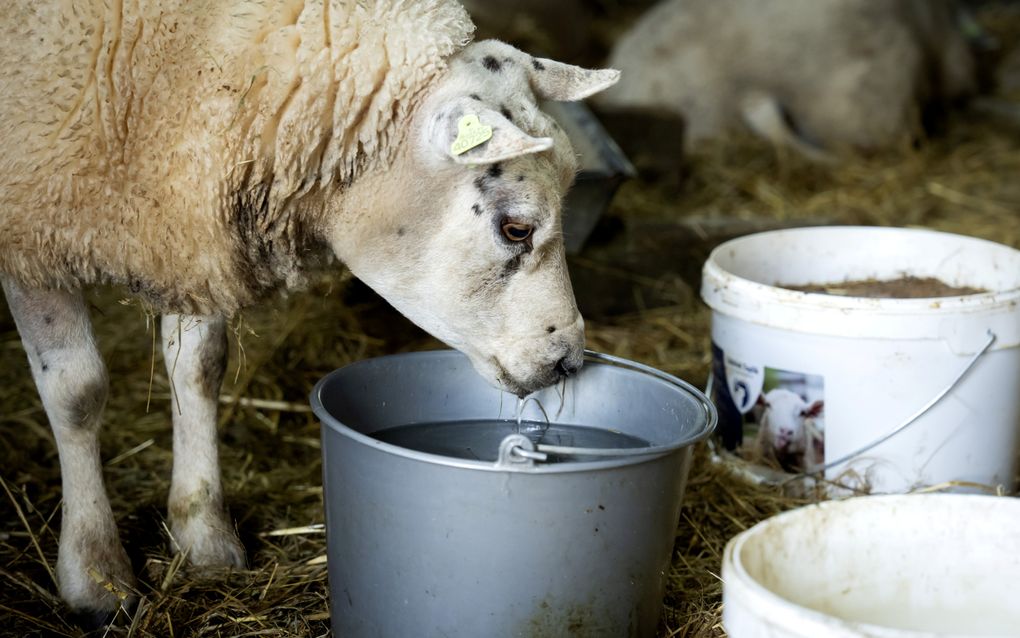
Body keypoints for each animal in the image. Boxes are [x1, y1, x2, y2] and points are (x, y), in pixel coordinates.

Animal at [0, 0, 620, 620]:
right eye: (515, 228)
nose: (568, 360)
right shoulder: (32, 239)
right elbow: (77, 393)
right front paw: (95, 574)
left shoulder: (193, 227)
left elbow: (199, 369)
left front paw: (205, 537)